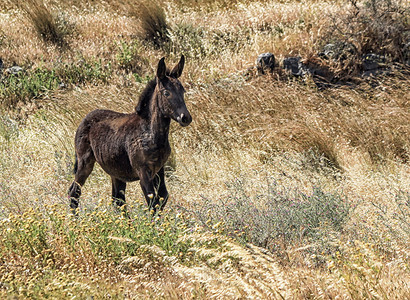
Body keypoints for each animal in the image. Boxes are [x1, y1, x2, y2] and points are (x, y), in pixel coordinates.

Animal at [68, 55, 191, 213]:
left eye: (183, 91)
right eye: (166, 93)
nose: (185, 118)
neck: (152, 134)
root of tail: (83, 121)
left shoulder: (159, 169)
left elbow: (162, 197)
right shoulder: (143, 171)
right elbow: (152, 201)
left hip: (115, 171)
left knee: (117, 199)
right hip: (85, 162)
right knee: (74, 191)